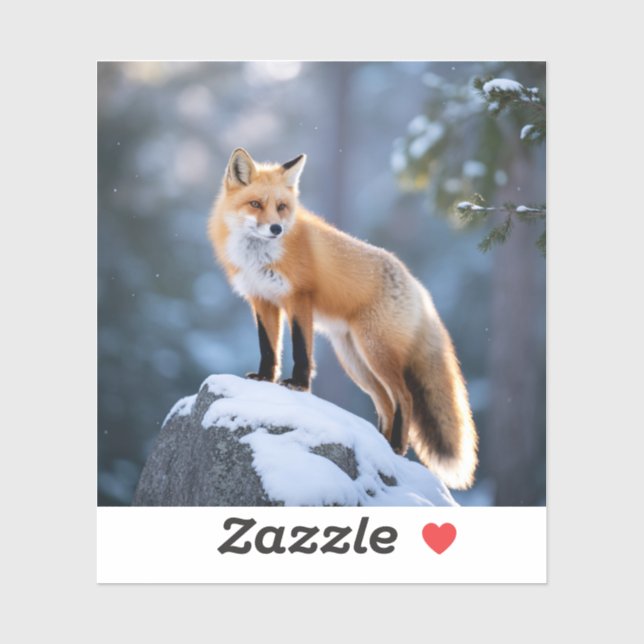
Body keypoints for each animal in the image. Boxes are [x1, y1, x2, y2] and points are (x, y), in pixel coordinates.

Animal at [208, 148, 478, 489]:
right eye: (255, 204)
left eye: (281, 207)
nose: (276, 229)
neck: (259, 256)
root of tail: (418, 287)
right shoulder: (262, 300)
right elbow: (269, 349)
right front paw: (265, 379)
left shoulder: (299, 298)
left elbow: (301, 349)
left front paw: (298, 385)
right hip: (355, 360)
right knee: (386, 403)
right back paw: (381, 447)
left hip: (375, 352)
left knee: (404, 397)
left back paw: (396, 446)